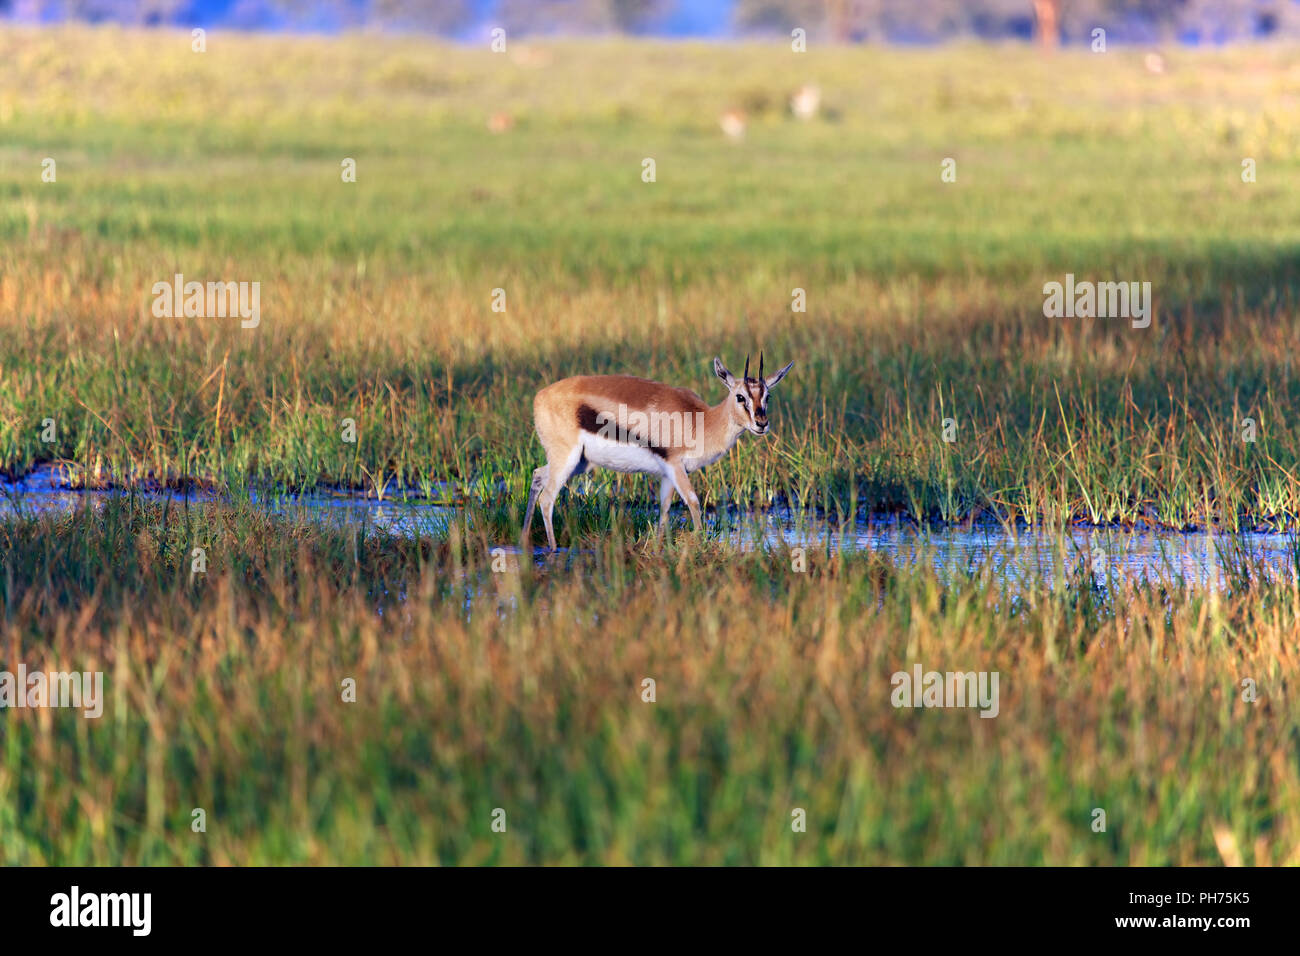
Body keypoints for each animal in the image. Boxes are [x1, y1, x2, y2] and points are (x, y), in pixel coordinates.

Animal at [522, 354, 794, 551]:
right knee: (547, 499)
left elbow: (663, 509)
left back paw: (524, 539)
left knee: (537, 474)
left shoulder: (667, 473)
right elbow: (694, 503)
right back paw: (554, 550)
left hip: (580, 463)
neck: (701, 421)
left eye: (767, 396)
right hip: (566, 459)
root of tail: (539, 396)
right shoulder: (675, 466)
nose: (762, 424)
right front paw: (700, 546)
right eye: (740, 397)